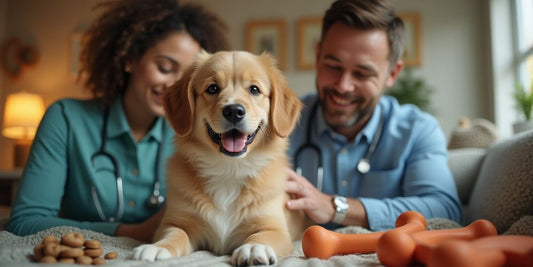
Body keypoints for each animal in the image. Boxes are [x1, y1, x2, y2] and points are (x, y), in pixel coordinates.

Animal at [132, 50, 304, 266]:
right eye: (212, 88)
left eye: (254, 90)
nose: (234, 111)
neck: (229, 169)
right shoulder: (176, 221)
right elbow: (175, 234)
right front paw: (158, 248)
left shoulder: (274, 227)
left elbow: (262, 236)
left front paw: (254, 248)